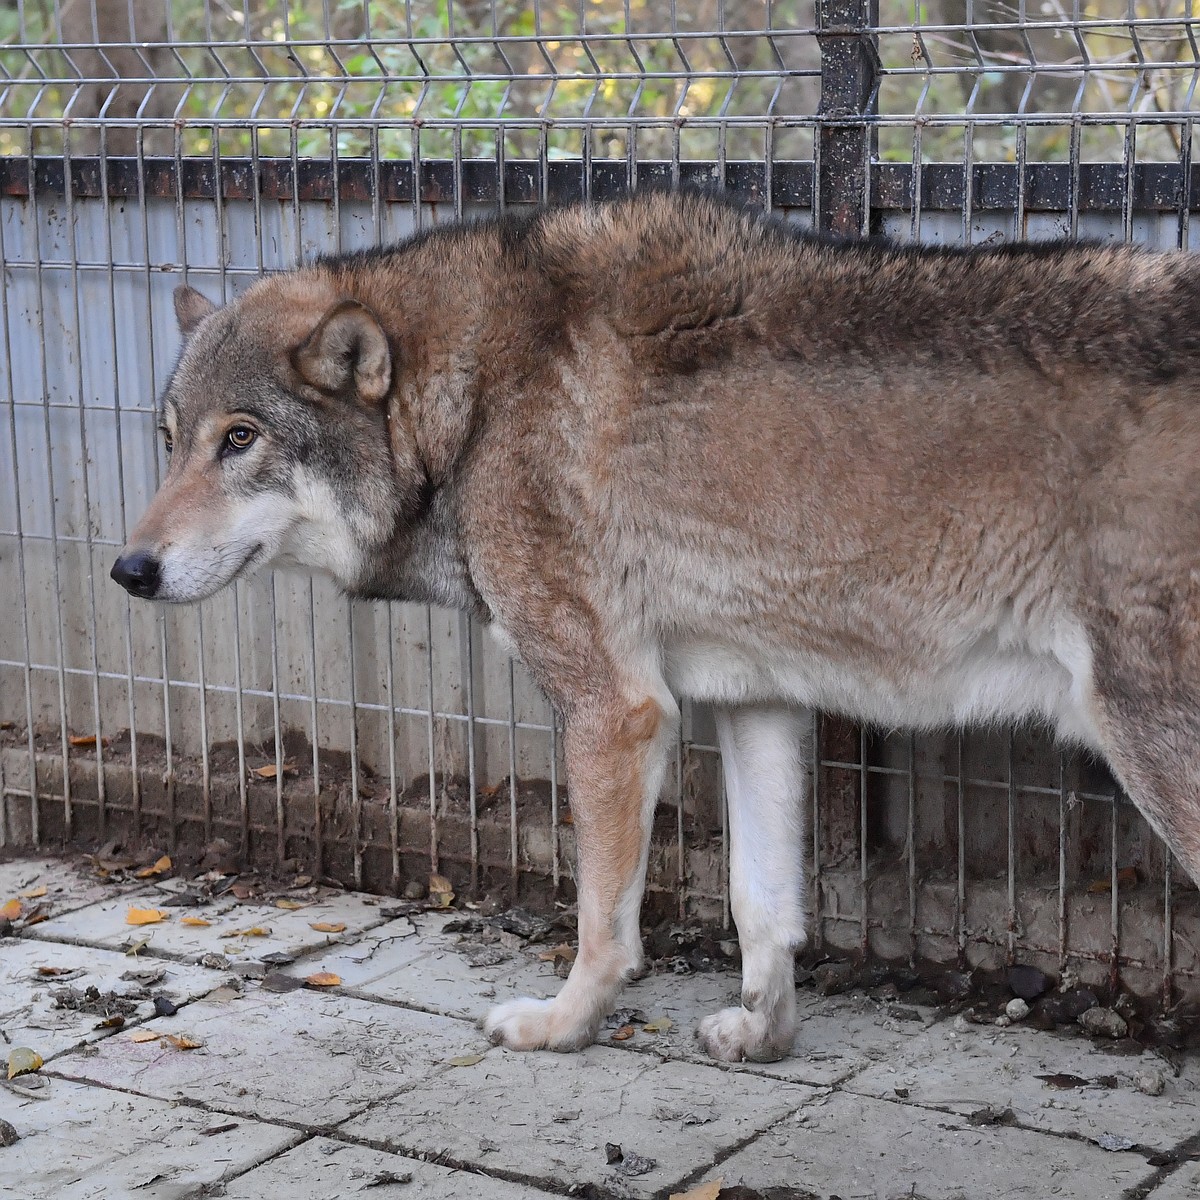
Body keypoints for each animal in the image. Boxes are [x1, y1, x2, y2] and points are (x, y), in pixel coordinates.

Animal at [114, 192, 1200, 1065]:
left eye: (240, 439)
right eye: (170, 444)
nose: (129, 570)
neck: (477, 402)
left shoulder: (616, 709)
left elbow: (604, 920)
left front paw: (563, 1027)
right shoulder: (757, 704)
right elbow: (764, 910)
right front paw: (763, 1035)